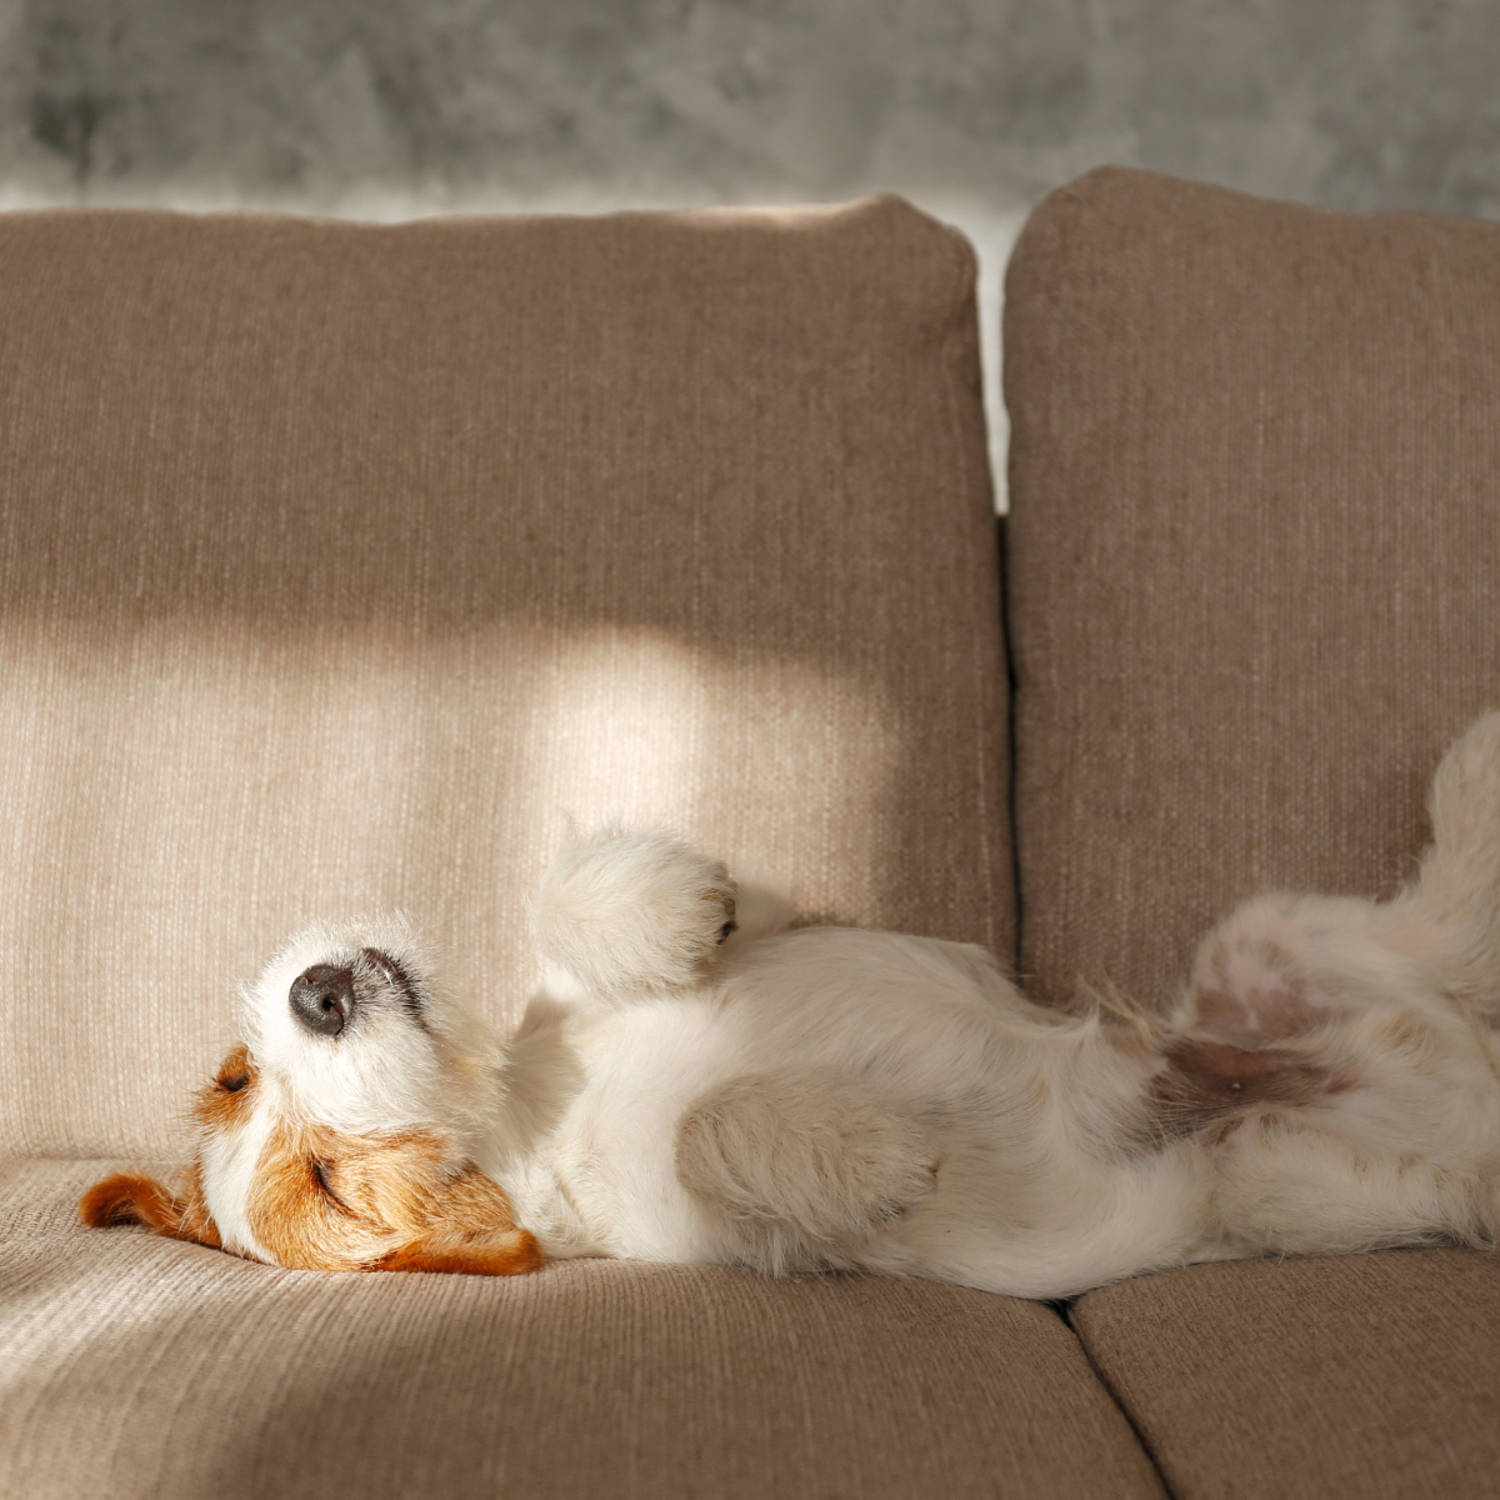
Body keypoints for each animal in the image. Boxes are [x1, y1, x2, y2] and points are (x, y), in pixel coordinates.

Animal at [79, 714, 1500, 1302]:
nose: (314, 990)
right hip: (1282, 1132)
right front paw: (880, 1153)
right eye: (331, 1188)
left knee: (1445, 918)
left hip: (1283, 967)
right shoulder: (724, 1226)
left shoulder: (789, 918)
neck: (537, 1105)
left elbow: (577, 901)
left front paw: (666, 907)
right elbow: (719, 1125)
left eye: (233, 1074)